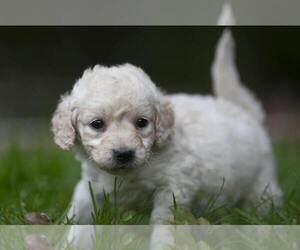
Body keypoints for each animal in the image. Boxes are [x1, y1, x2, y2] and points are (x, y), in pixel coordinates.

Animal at [52, 29, 284, 227]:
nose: (124, 154)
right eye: (97, 124)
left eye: (142, 122)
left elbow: (163, 220)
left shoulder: (175, 185)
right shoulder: (90, 187)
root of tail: (244, 110)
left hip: (261, 182)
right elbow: (79, 217)